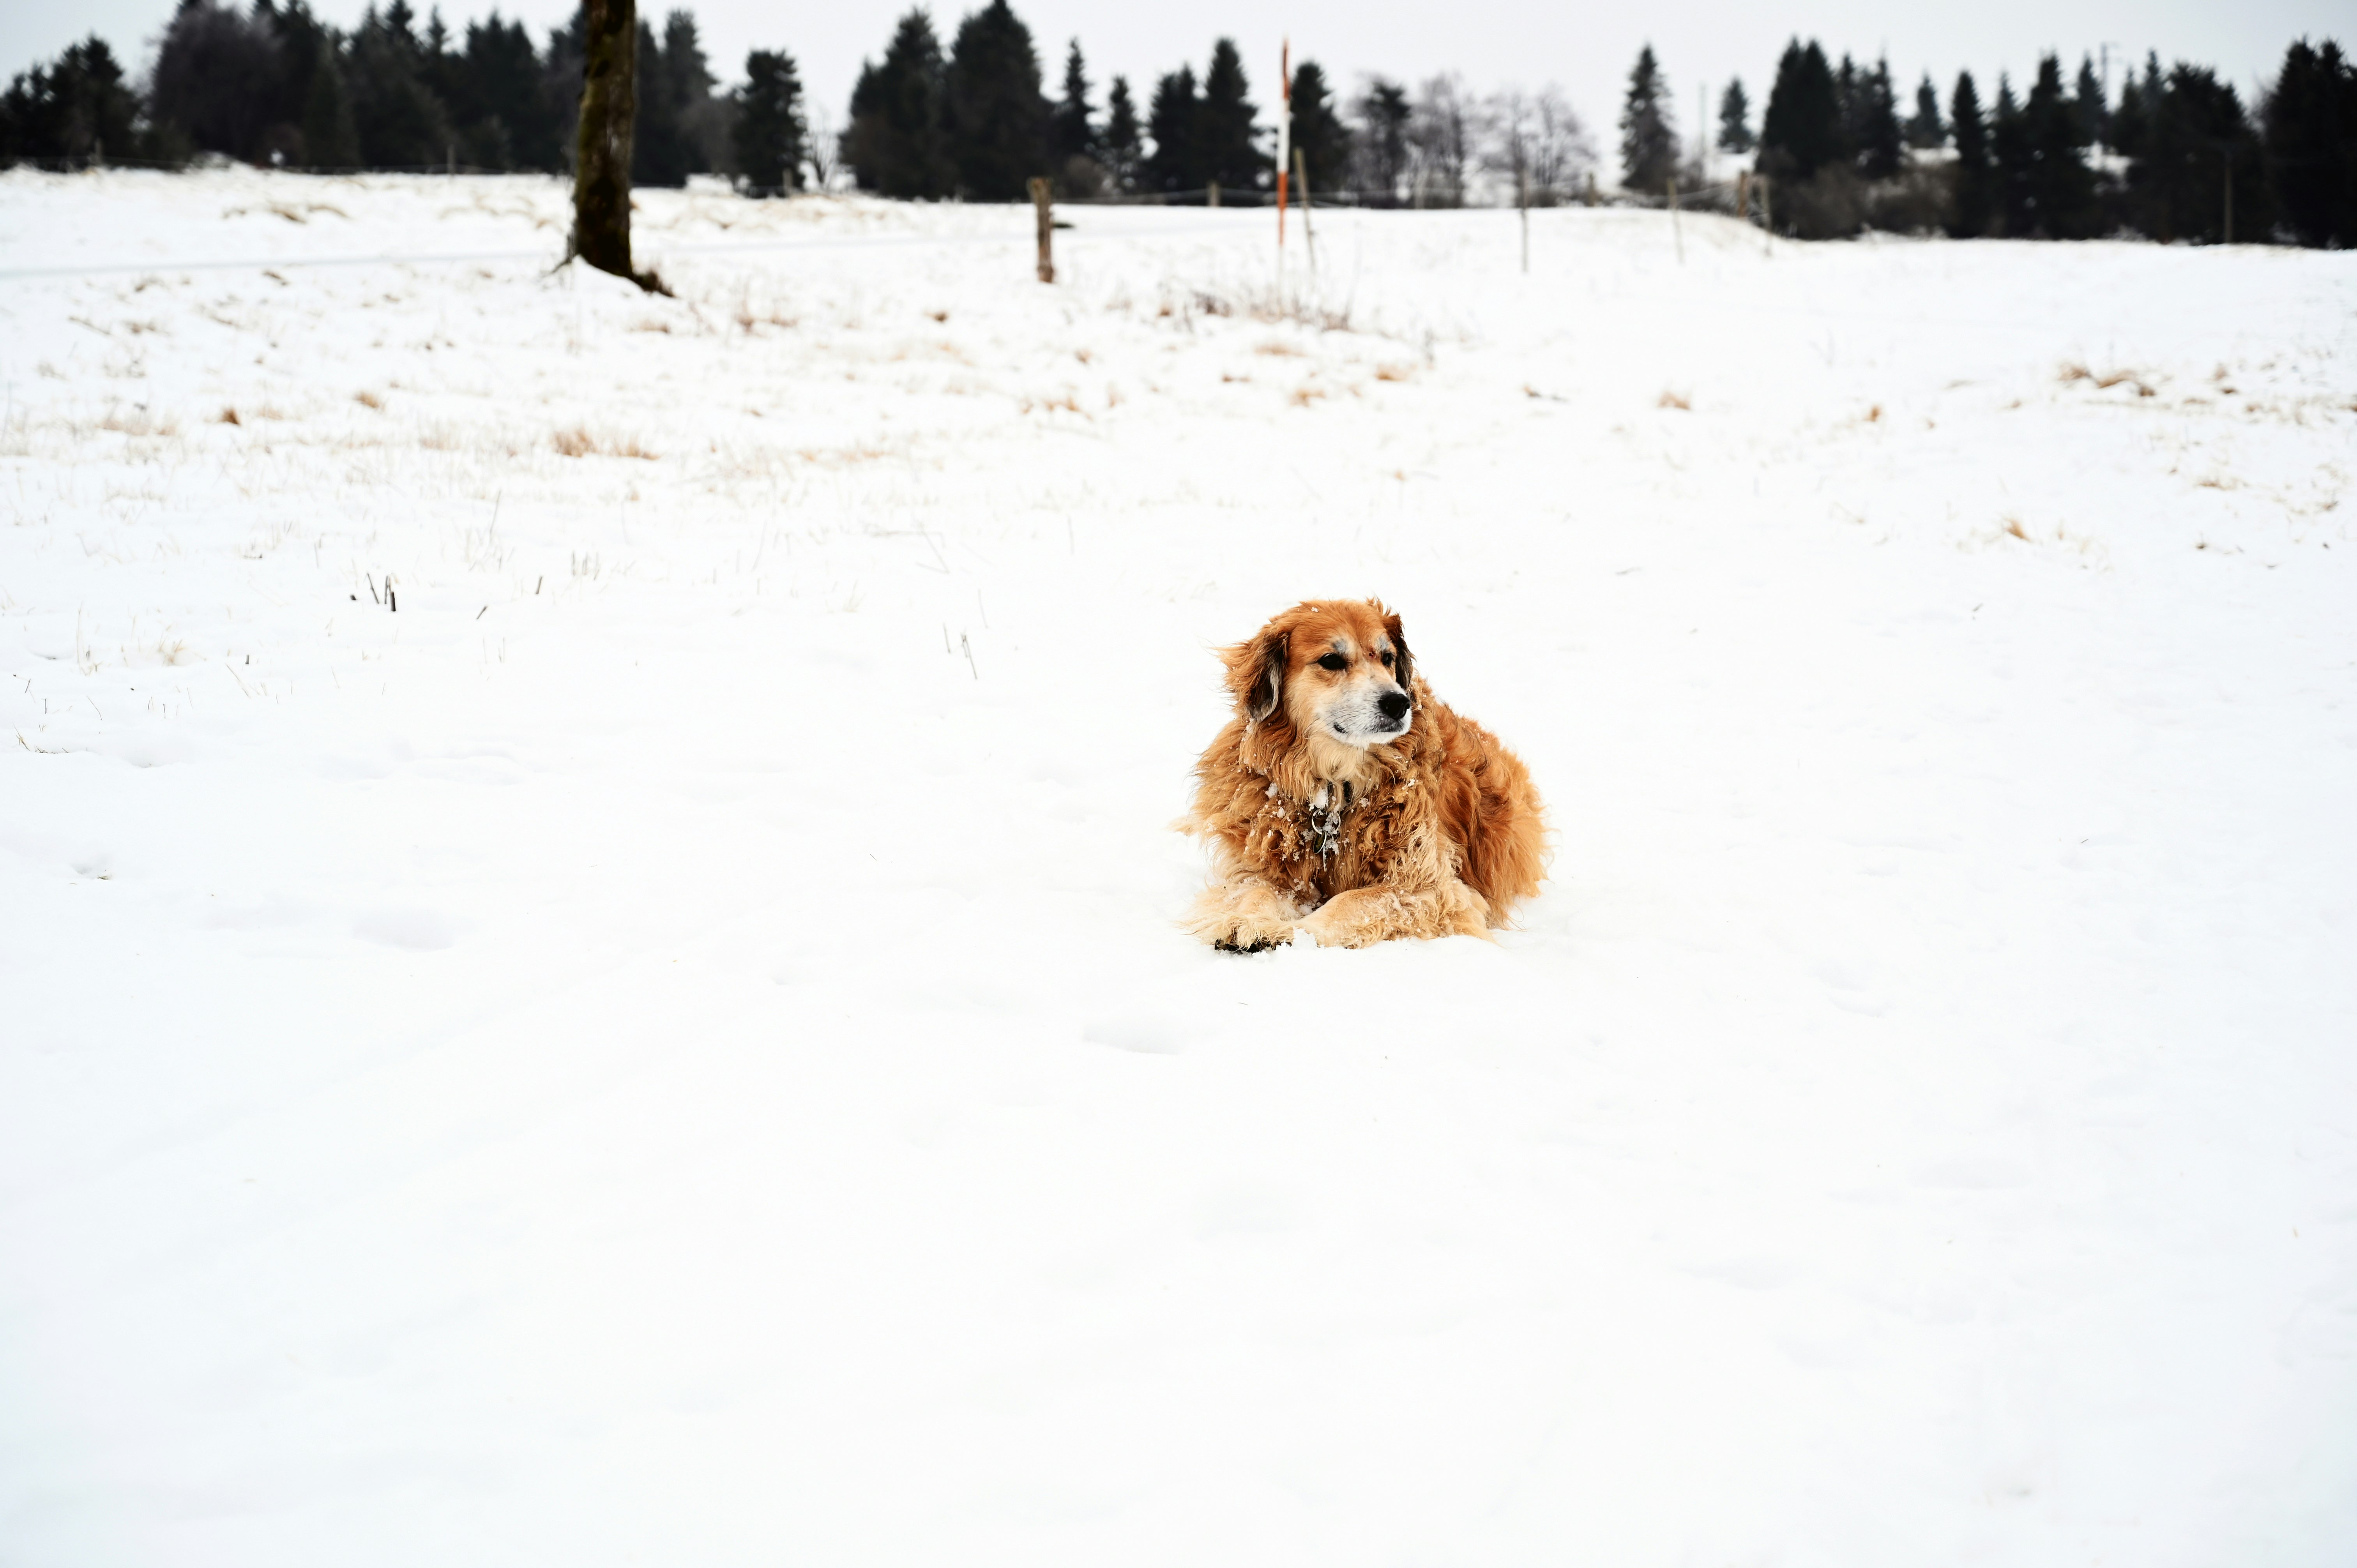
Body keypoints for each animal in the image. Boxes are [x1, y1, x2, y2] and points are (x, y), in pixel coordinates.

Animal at [1178, 596, 1546, 943]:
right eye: (1331, 660)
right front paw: (1247, 923)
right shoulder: (1264, 866)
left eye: (1387, 658)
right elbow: (1255, 892)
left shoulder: (1430, 887)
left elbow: (1347, 903)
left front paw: (1288, 934)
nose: (1399, 703)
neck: (1334, 792)